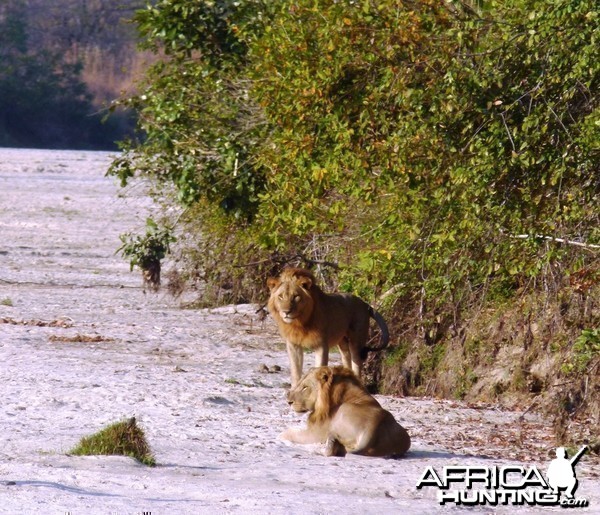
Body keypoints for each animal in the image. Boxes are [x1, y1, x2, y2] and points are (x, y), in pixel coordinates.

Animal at [280, 366, 410, 460]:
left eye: (305, 387)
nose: (289, 402)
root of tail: (373, 427)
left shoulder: (314, 433)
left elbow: (288, 433)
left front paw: (281, 435)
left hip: (340, 415)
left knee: (329, 449)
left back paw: (319, 448)